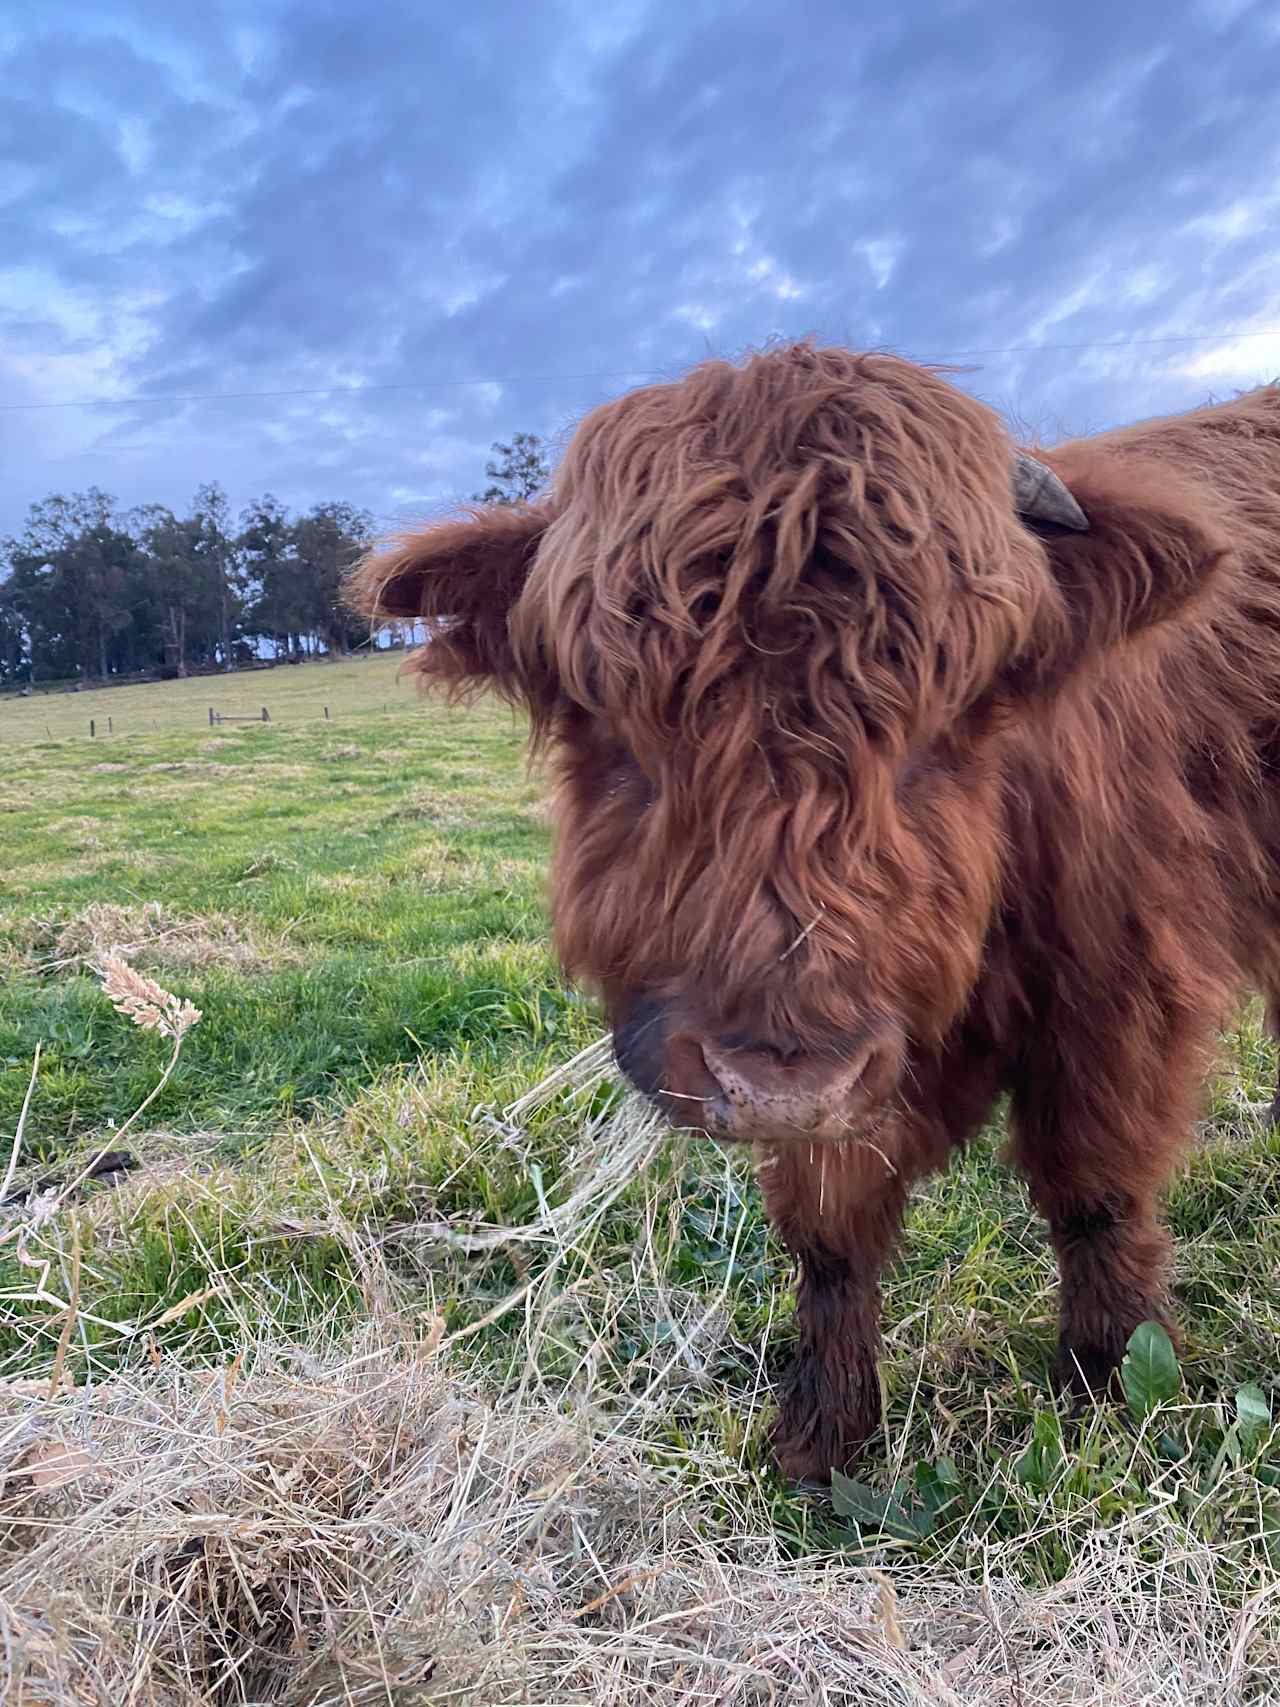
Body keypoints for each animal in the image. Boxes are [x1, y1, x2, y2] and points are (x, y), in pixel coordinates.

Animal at [348, 343, 1280, 1481]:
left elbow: (1093, 1190)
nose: (781, 1083)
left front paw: (1105, 1385)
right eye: (616, 721)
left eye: (948, 721)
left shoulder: (1114, 987)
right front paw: (822, 1436)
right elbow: (830, 1236)